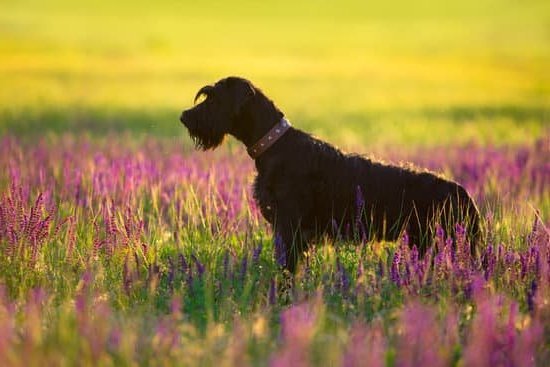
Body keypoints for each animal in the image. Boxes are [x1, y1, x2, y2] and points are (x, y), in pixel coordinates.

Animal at [181, 77, 484, 274]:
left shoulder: (290, 228)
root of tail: (463, 193)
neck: (276, 144)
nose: (184, 116)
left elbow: (288, 270)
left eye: (214, 98)